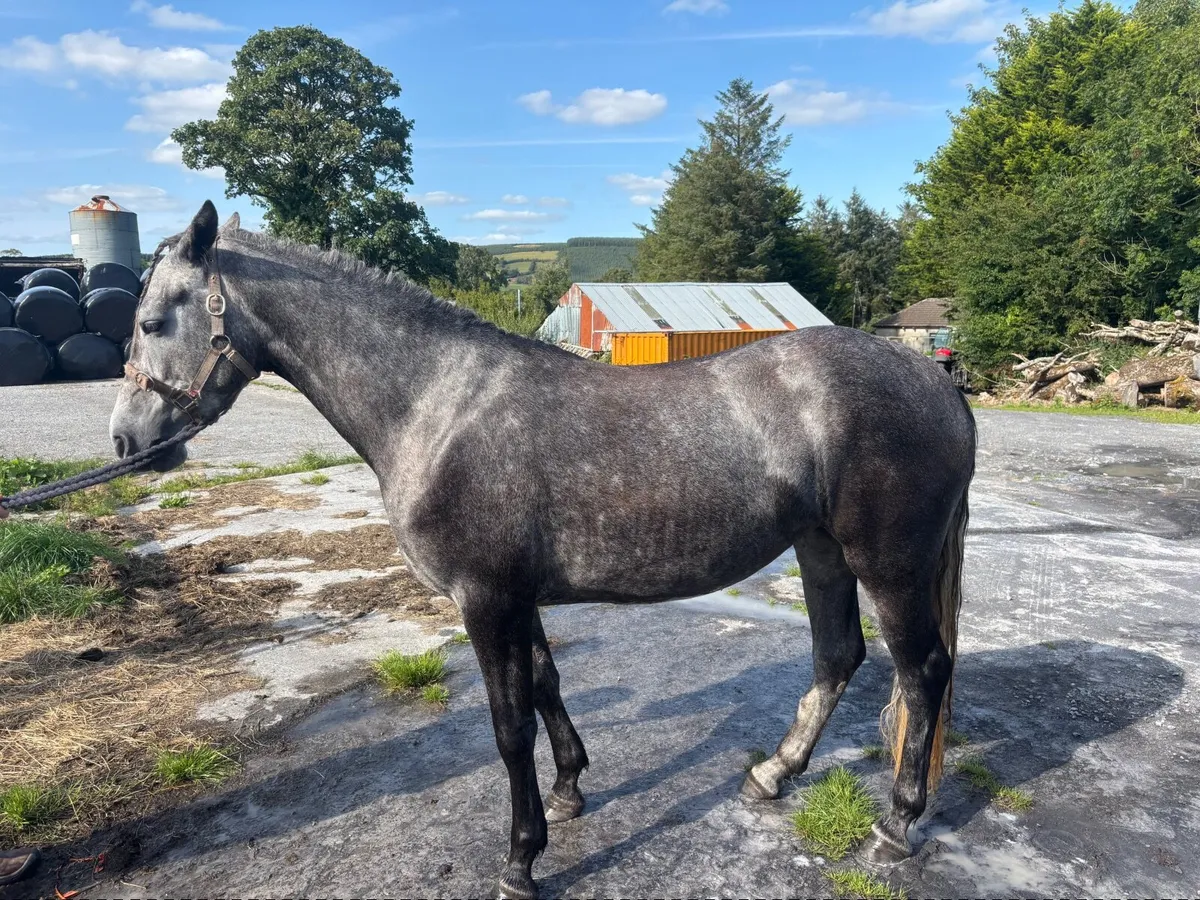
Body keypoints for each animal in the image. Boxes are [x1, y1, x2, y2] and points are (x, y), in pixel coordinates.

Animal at [110, 201, 976, 899]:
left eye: (152, 324)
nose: (125, 441)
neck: (435, 404)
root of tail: (937, 381)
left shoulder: (486, 600)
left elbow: (508, 727)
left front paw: (521, 861)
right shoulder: (513, 596)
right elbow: (547, 685)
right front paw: (569, 789)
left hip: (888, 563)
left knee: (922, 669)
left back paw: (898, 822)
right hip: (821, 549)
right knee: (838, 657)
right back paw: (773, 774)